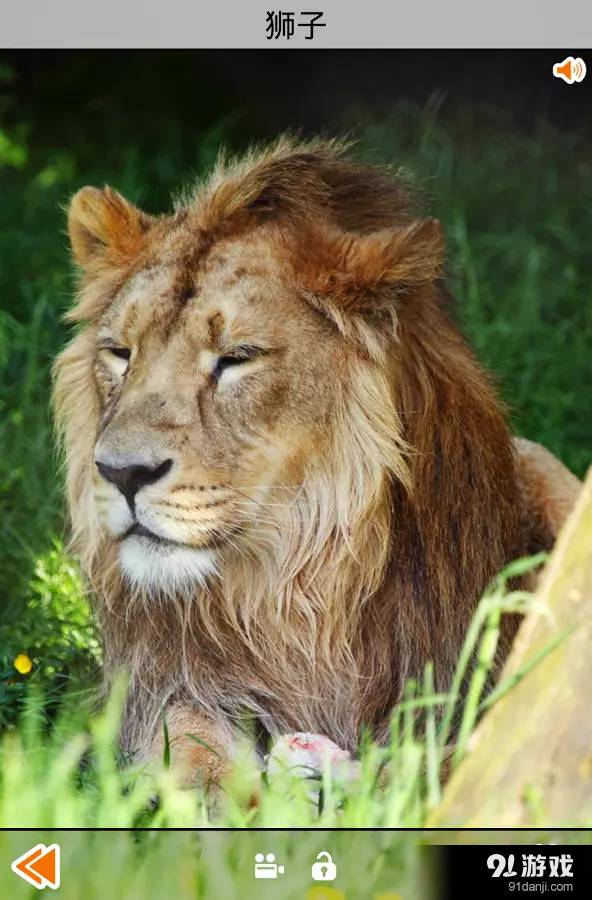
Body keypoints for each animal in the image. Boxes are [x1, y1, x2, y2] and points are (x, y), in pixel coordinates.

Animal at [53, 136, 580, 788]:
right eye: (120, 353)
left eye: (238, 357)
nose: (121, 473)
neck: (295, 591)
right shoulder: (165, 688)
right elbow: (193, 754)